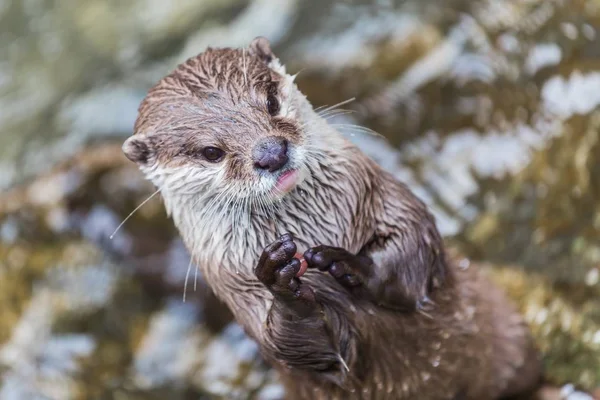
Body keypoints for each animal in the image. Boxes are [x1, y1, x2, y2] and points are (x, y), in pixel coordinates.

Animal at [122, 38, 544, 400]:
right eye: (211, 151)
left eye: (271, 101)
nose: (271, 152)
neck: (316, 227)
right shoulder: (239, 290)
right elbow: (304, 347)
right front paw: (282, 285)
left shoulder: (383, 197)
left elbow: (412, 246)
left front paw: (350, 265)